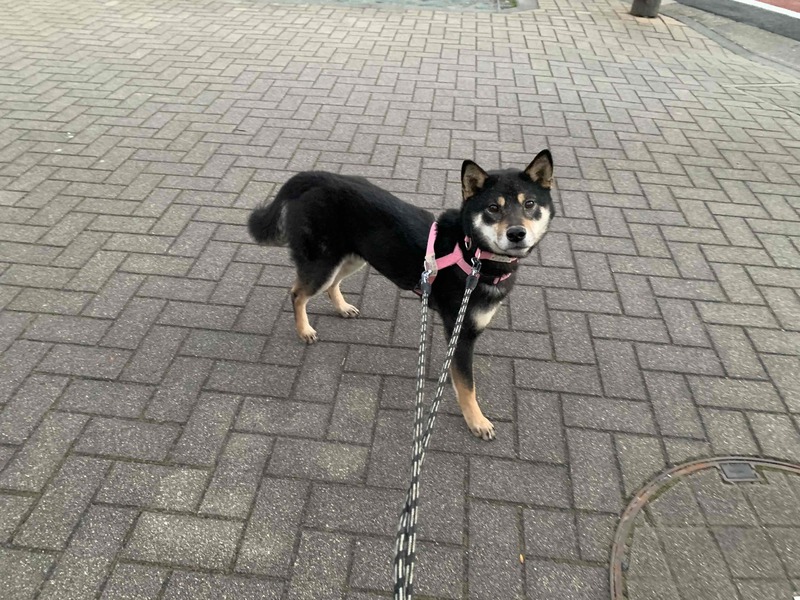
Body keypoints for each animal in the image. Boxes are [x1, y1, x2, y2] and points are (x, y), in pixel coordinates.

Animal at [247, 150, 555, 440]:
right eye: (493, 208)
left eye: (529, 204)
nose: (517, 233)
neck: (472, 253)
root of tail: (315, 177)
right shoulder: (461, 331)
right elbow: (468, 386)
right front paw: (477, 421)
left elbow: (458, 374)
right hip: (322, 262)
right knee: (297, 293)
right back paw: (304, 329)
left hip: (352, 258)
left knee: (331, 285)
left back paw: (342, 307)